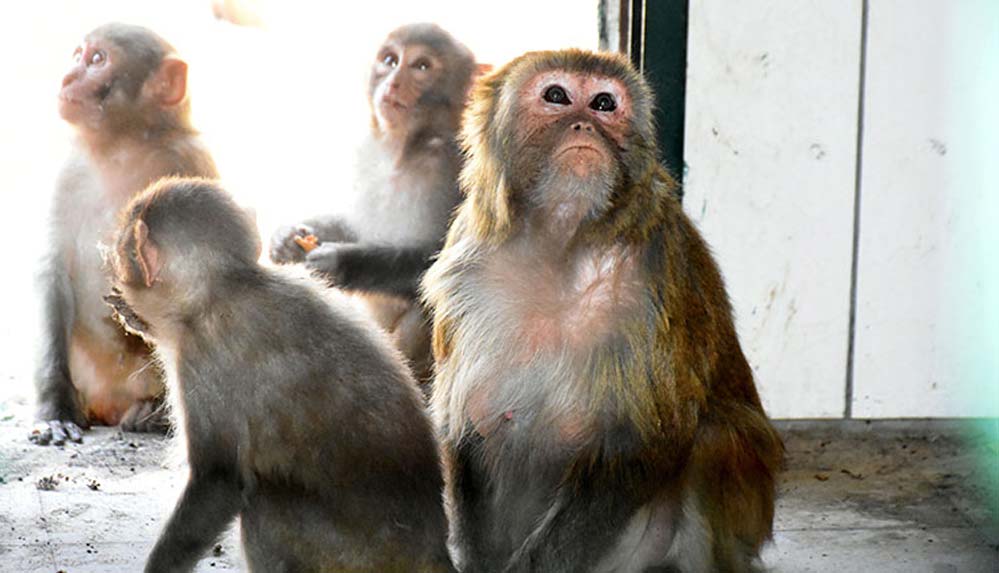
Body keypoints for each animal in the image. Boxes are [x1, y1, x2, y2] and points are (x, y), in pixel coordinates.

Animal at [107, 178, 452, 572]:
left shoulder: (204, 358)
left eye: (121, 257)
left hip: (354, 554)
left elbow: (219, 480)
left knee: (266, 503)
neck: (226, 290)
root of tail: (431, 549)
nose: (115, 278)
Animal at [272, 24, 478, 386]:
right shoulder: (365, 151)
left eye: (421, 66)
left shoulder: (452, 168)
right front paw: (288, 238)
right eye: (390, 61)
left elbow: (446, 267)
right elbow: (353, 226)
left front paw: (341, 263)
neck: (403, 150)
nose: (392, 82)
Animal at [426, 50, 784, 572]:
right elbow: (474, 424)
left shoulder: (651, 275)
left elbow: (646, 440)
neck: (561, 245)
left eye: (603, 103)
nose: (584, 125)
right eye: (557, 95)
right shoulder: (467, 272)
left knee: (714, 435)